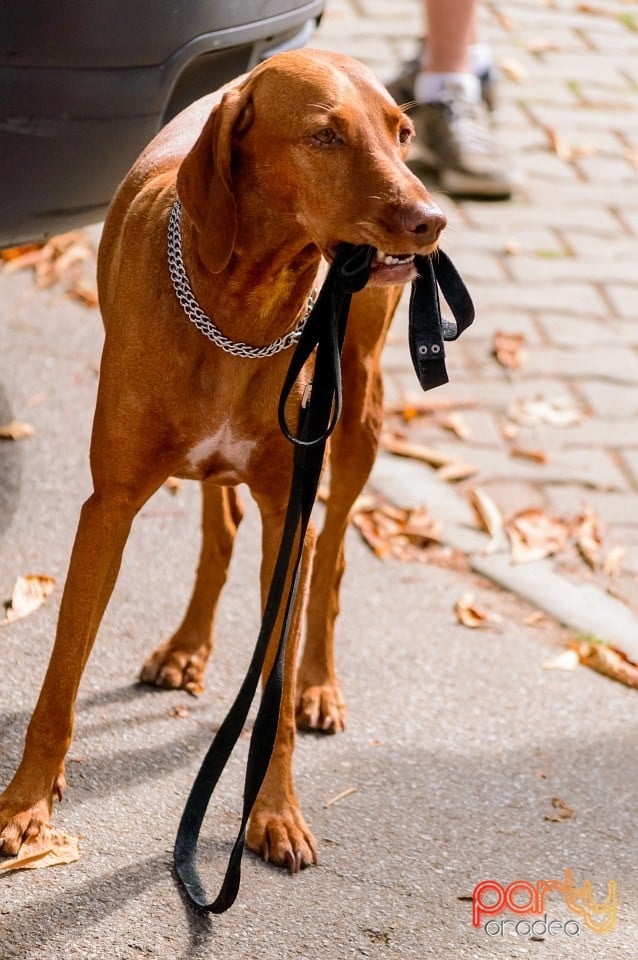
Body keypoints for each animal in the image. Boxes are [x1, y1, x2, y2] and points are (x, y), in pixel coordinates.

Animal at [0, 48, 444, 872]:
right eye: (324, 135)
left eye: (403, 132)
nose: (432, 220)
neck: (244, 304)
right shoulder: (107, 509)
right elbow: (61, 680)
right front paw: (26, 805)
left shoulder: (290, 515)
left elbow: (274, 700)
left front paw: (275, 813)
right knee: (222, 525)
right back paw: (186, 647)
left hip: (360, 416)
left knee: (333, 557)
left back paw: (320, 684)